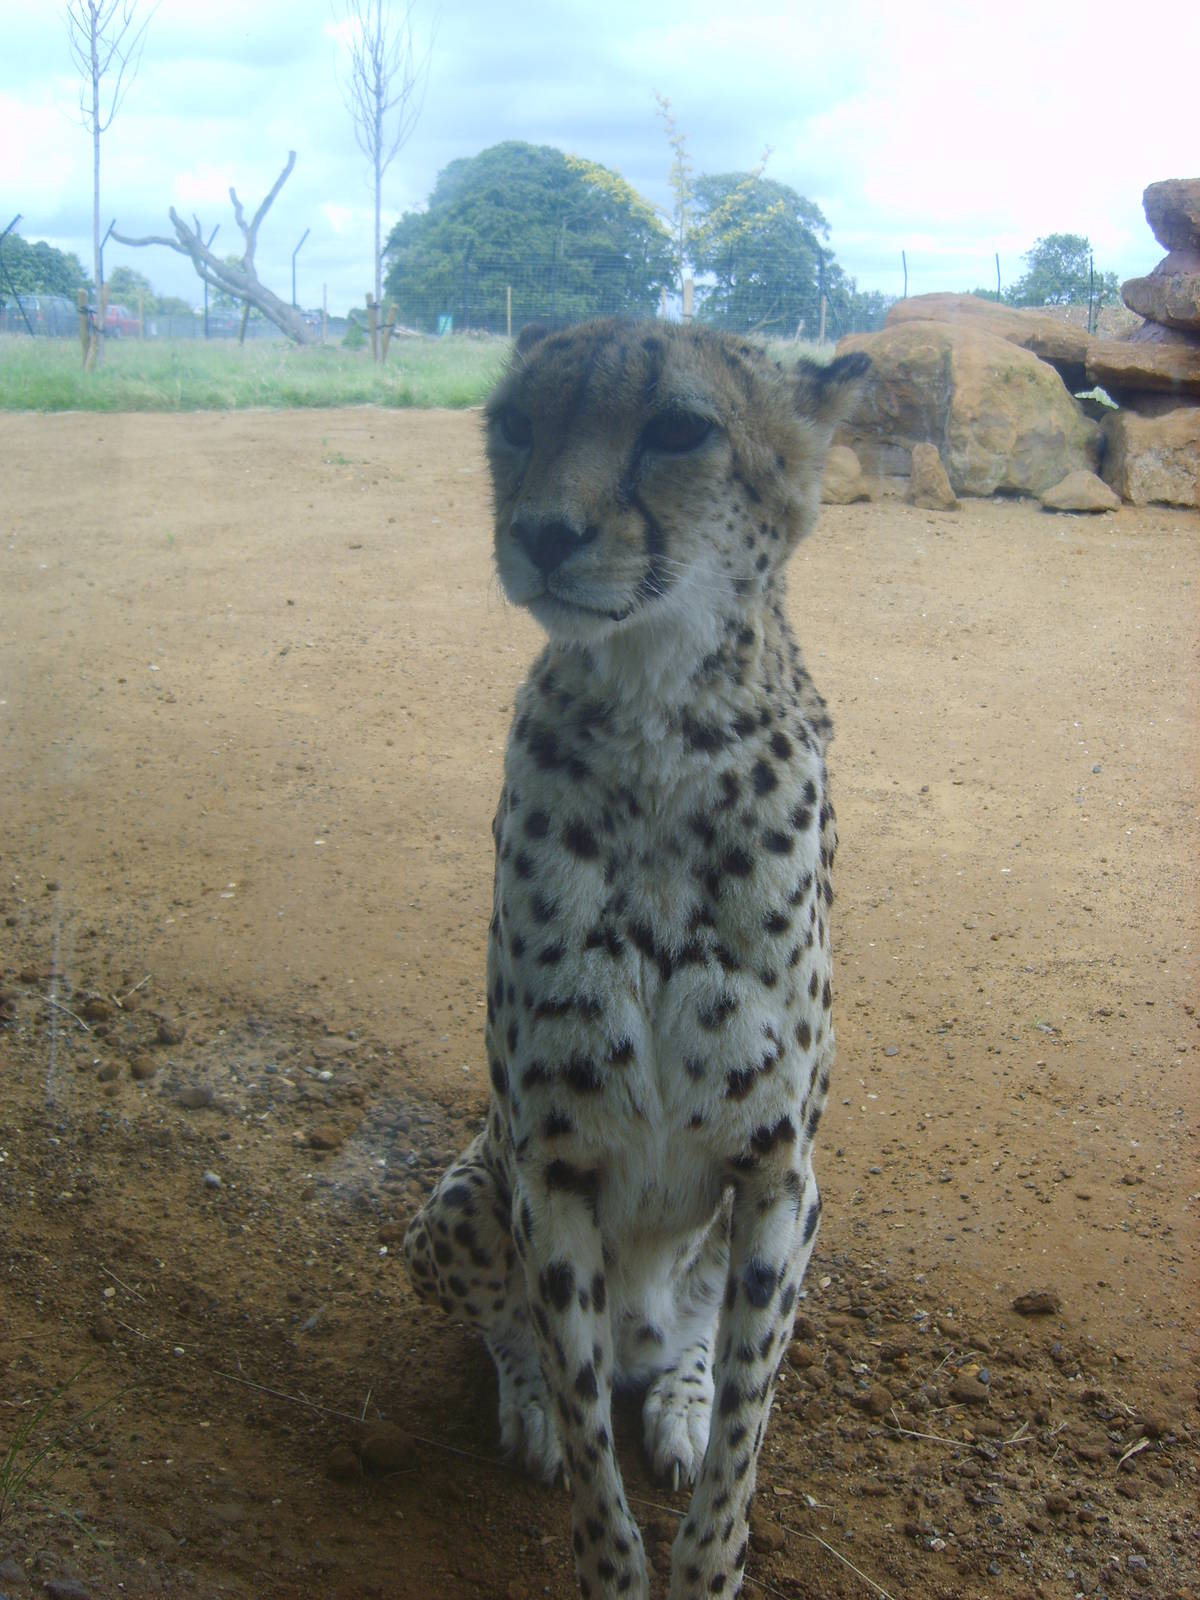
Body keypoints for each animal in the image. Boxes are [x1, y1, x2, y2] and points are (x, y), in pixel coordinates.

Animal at [403, 317, 868, 1600]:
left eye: (678, 429)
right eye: (516, 422)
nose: (542, 532)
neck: (663, 721)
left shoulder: (781, 1176)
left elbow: (747, 1438)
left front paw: (706, 1555)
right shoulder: (548, 1166)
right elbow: (584, 1451)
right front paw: (609, 1554)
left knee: (697, 1352)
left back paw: (677, 1403)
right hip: (464, 1195)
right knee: (522, 1340)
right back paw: (528, 1408)